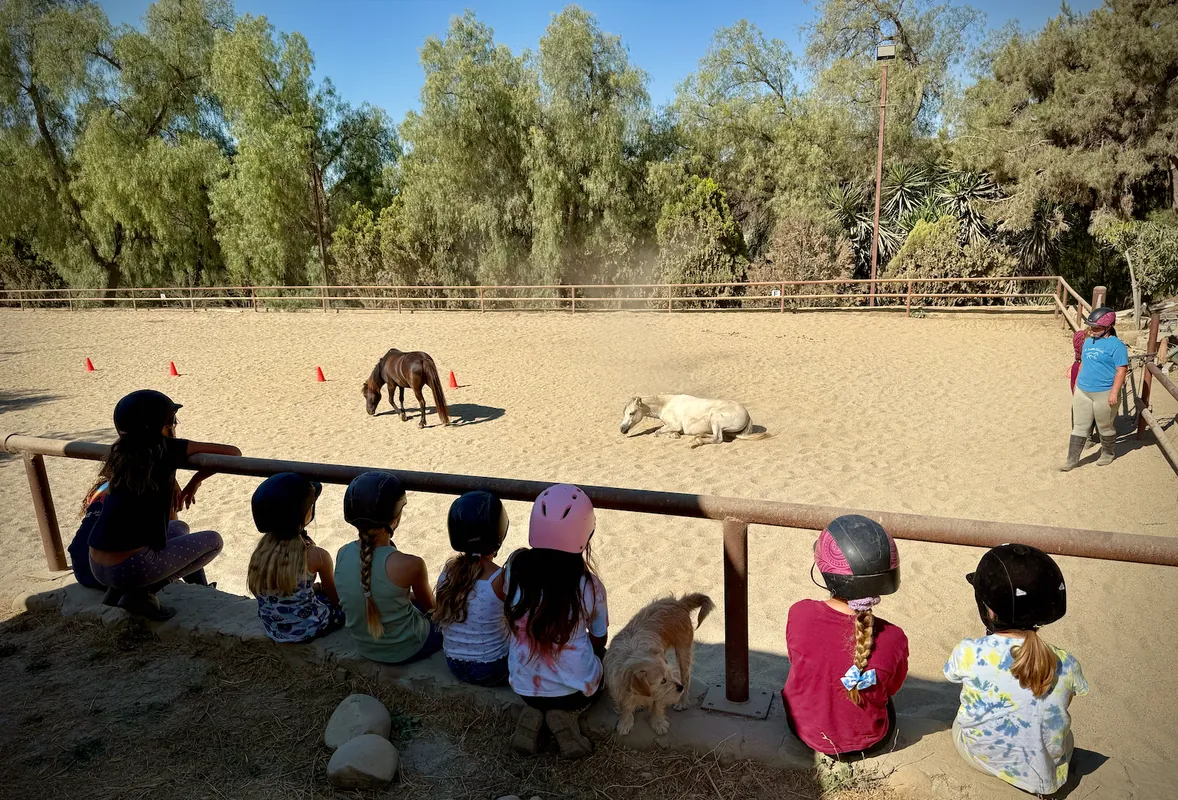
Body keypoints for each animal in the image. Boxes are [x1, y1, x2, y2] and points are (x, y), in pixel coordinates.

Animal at [619, 395, 769, 448]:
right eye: (624, 413)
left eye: (631, 413)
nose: (622, 429)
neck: (665, 404)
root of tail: (747, 415)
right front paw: (673, 435)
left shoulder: (675, 425)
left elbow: (657, 432)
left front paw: (673, 435)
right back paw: (699, 436)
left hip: (715, 419)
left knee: (718, 439)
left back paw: (697, 442)